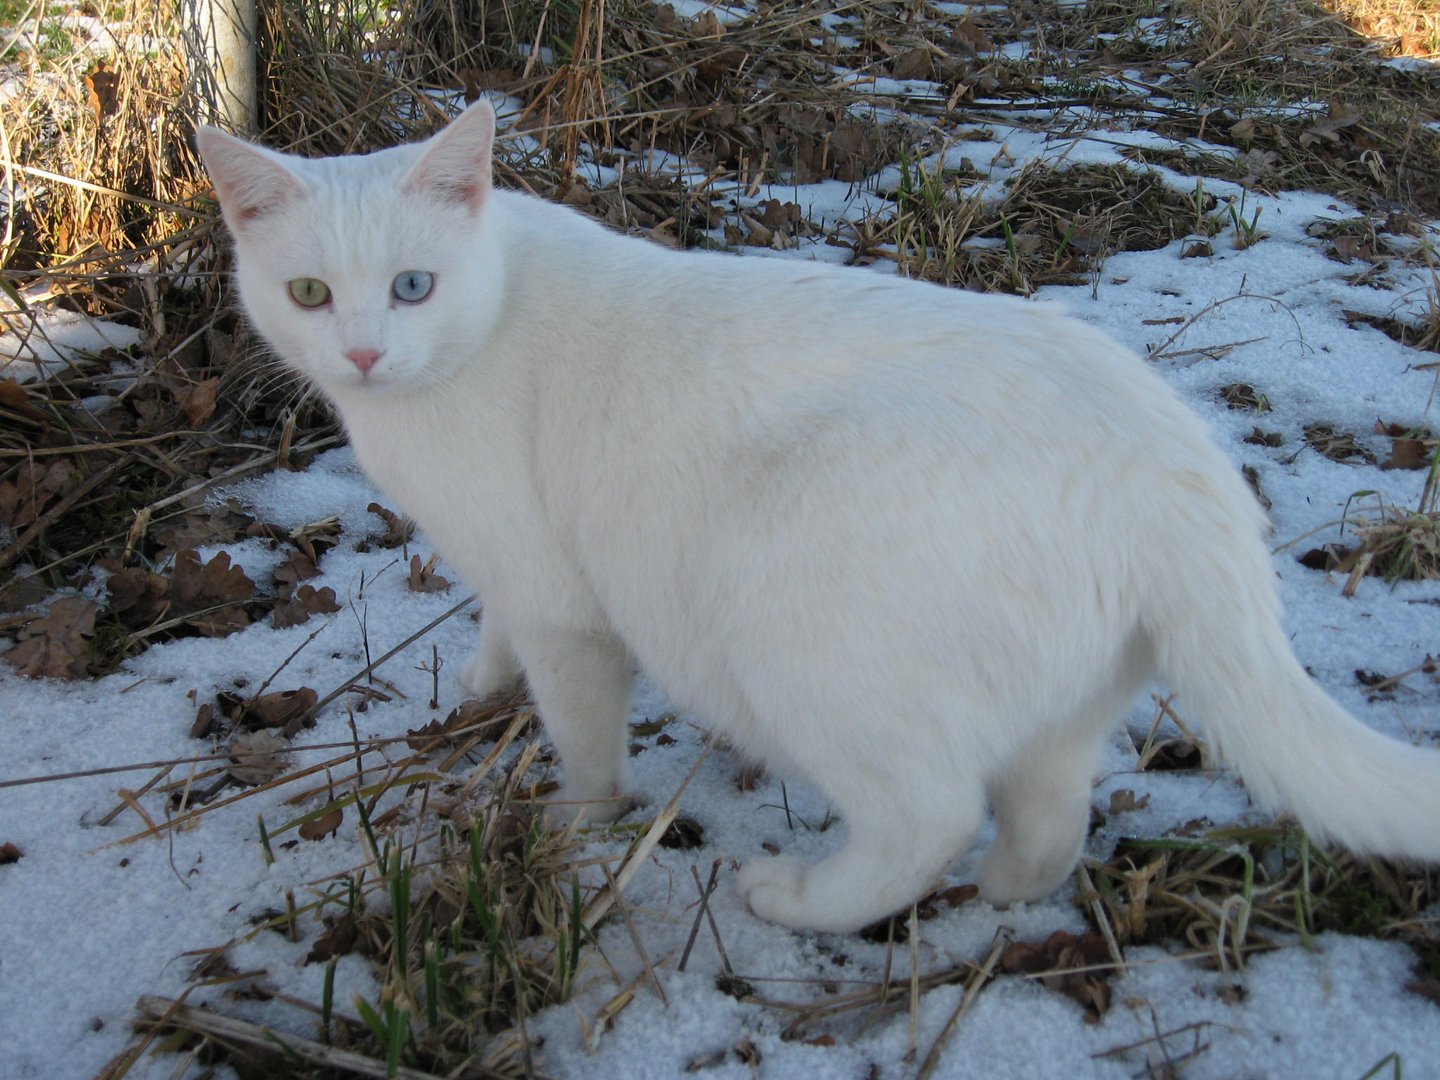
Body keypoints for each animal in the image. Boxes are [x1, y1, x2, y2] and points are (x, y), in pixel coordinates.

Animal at [194, 105, 1440, 933]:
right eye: (310, 295)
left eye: (413, 287)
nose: (363, 352)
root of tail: (1185, 476)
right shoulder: (507, 571)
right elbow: (495, 633)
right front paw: (480, 687)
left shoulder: (560, 601)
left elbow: (583, 736)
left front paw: (573, 821)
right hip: (1063, 706)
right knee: (1047, 823)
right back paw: (998, 896)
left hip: (801, 641)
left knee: (930, 814)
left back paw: (803, 902)